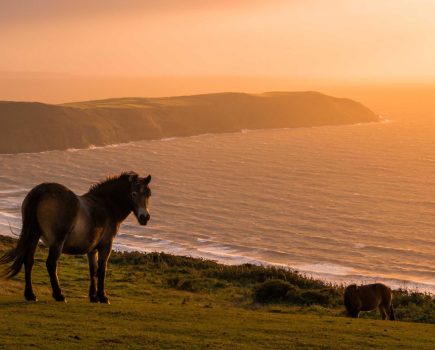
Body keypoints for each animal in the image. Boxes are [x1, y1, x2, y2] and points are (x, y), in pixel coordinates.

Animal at [0, 172, 152, 304]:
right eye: (133, 194)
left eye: (147, 194)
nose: (145, 217)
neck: (105, 206)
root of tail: (41, 191)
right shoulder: (106, 246)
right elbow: (102, 270)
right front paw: (103, 297)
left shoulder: (92, 249)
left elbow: (93, 270)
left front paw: (93, 297)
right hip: (57, 241)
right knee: (51, 263)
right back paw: (59, 295)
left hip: (34, 236)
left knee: (28, 261)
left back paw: (30, 295)